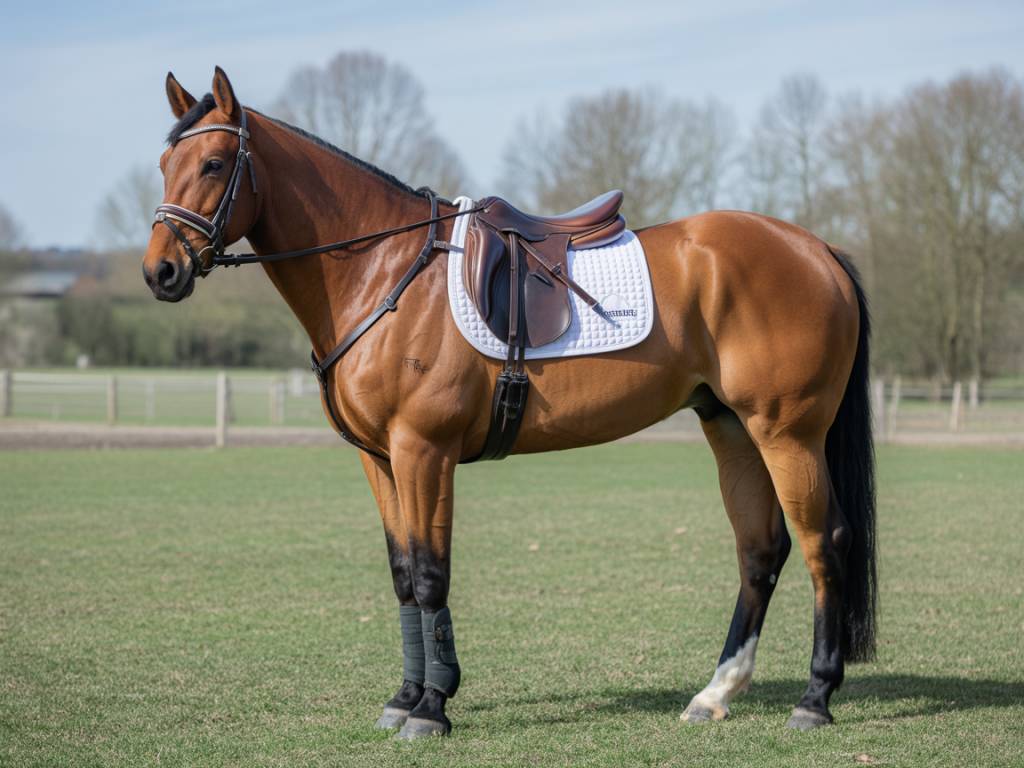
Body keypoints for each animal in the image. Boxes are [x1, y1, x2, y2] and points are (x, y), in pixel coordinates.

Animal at [143, 68, 876, 739]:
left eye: (213, 163)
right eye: (163, 164)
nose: (160, 272)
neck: (385, 271)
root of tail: (818, 250)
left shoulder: (423, 451)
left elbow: (431, 574)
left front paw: (432, 709)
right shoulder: (380, 459)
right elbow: (403, 575)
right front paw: (405, 698)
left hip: (787, 434)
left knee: (825, 542)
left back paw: (814, 698)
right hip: (732, 428)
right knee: (761, 550)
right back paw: (715, 693)